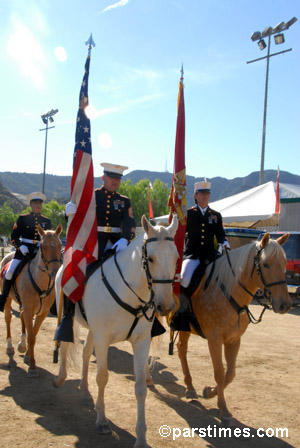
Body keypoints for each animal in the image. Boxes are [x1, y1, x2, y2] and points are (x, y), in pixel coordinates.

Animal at [0, 223, 62, 374]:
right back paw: (9, 346)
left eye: (59, 245)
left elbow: (33, 332)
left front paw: (28, 356)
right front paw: (32, 366)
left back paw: (22, 345)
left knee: (21, 316)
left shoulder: (42, 312)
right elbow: (32, 337)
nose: (55, 272)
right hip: (8, 299)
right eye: (44, 246)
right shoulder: (29, 309)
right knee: (8, 318)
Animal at [53, 215, 178, 446]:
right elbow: (102, 377)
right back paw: (60, 379)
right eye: (151, 258)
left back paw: (85, 392)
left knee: (85, 354)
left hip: (92, 330)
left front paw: (141, 438)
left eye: (176, 257)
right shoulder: (103, 339)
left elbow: (140, 387)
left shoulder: (141, 341)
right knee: (65, 347)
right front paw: (102, 421)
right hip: (70, 318)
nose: (165, 306)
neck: (131, 292)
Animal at [176, 233, 290, 426]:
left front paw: (209, 392)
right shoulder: (215, 339)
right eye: (266, 264)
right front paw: (224, 409)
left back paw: (190, 387)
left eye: (284, 263)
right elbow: (220, 372)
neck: (229, 290)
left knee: (181, 349)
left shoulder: (234, 339)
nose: (285, 305)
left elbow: (230, 374)